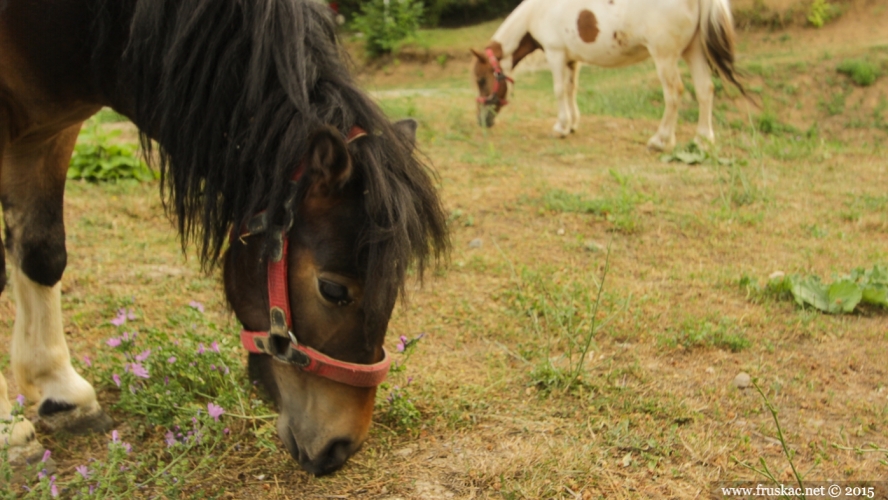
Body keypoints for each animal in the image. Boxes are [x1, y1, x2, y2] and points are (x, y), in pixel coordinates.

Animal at [0, 0, 444, 476]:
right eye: (333, 290)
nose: (341, 446)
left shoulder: (52, 132)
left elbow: (43, 253)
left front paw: (61, 393)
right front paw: (11, 432)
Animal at [472, 0, 744, 150]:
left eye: (481, 80)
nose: (482, 121)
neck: (537, 12)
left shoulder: (555, 54)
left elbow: (559, 91)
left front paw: (560, 127)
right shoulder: (572, 59)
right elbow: (571, 90)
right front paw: (572, 125)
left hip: (665, 55)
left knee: (674, 93)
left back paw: (660, 140)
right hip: (693, 50)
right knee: (705, 90)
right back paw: (703, 140)